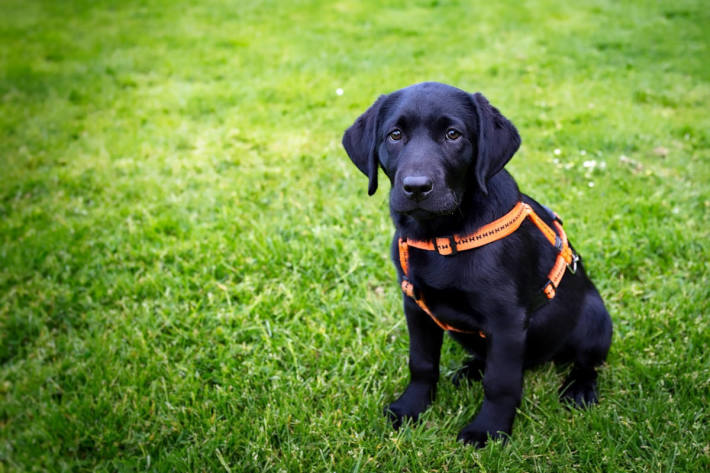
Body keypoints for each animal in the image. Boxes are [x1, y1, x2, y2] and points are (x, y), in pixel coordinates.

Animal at [344, 82, 612, 446]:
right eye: (395, 135)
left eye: (453, 135)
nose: (416, 187)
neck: (442, 237)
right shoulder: (415, 306)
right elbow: (422, 363)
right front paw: (411, 407)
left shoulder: (506, 321)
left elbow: (500, 383)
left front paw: (489, 429)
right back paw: (470, 369)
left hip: (596, 319)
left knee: (587, 362)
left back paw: (580, 389)